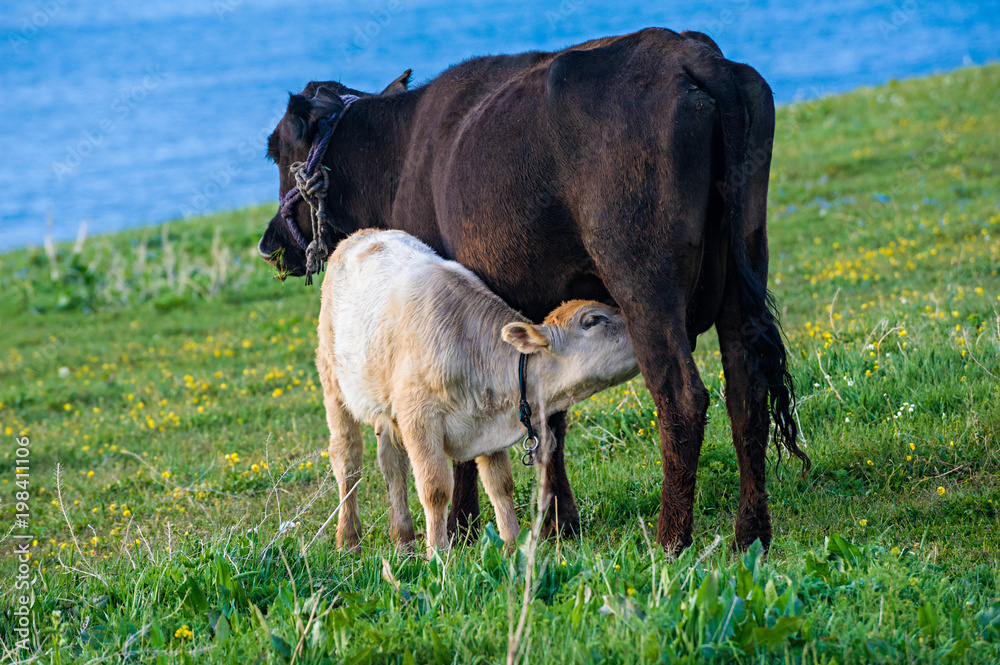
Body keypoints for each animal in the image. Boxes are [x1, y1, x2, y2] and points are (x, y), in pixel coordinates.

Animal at [317, 229, 638, 555]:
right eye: (593, 320)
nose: (636, 328)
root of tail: (362, 235)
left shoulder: (488, 419)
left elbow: (500, 484)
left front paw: (511, 544)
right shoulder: (419, 418)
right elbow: (434, 488)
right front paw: (439, 554)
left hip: (385, 405)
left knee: (392, 463)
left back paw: (404, 540)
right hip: (332, 383)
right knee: (348, 460)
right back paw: (349, 539)